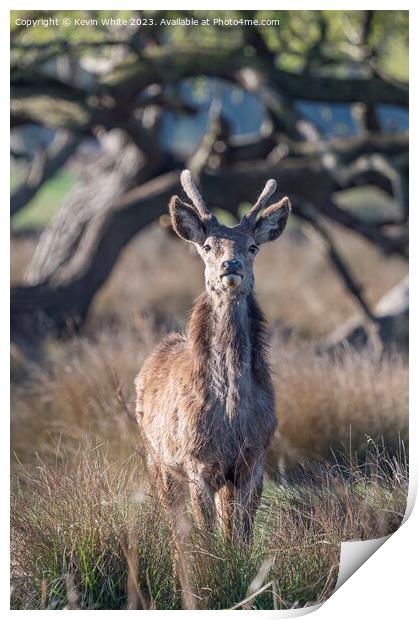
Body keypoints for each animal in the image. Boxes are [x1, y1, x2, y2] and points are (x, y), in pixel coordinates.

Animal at [135, 172, 292, 548]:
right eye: (207, 246)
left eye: (252, 246)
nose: (230, 266)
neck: (232, 415)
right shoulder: (197, 461)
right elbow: (205, 536)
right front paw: (211, 566)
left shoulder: (253, 459)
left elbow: (241, 535)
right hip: (155, 457)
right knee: (175, 525)